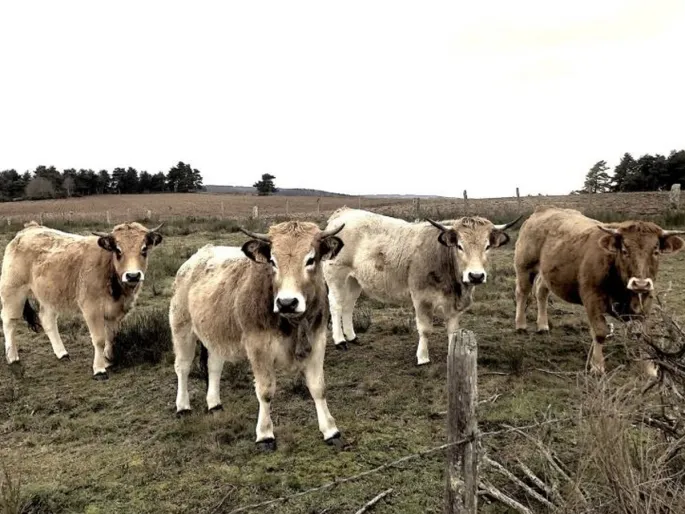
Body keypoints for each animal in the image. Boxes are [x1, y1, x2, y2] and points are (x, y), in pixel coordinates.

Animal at [0, 218, 164, 378]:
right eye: (118, 250)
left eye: (144, 249)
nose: (133, 275)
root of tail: (30, 228)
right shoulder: (92, 309)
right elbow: (99, 339)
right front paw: (99, 369)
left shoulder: (115, 312)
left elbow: (111, 337)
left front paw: (108, 360)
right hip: (13, 291)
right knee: (9, 321)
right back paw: (13, 358)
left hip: (49, 296)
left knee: (48, 320)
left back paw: (62, 353)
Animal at [169, 219, 344, 448]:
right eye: (272, 261)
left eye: (311, 259)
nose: (287, 302)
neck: (292, 324)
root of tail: (195, 258)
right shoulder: (258, 348)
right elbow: (266, 391)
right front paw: (265, 434)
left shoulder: (317, 341)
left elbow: (318, 387)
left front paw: (330, 430)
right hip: (182, 328)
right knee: (183, 367)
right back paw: (183, 406)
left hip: (216, 335)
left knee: (214, 366)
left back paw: (214, 403)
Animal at [320, 207, 520, 364]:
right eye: (460, 246)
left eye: (487, 246)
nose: (476, 276)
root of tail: (344, 213)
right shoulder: (421, 298)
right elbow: (425, 329)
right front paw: (423, 357)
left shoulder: (452, 304)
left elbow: (452, 330)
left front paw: (452, 353)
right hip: (336, 276)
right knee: (336, 306)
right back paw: (340, 341)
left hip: (354, 280)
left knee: (348, 306)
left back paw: (352, 337)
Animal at [512, 205, 684, 372]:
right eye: (624, 250)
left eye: (656, 251)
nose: (640, 283)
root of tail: (543, 209)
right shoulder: (592, 299)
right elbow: (600, 332)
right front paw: (597, 366)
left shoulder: (645, 304)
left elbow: (643, 336)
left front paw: (649, 369)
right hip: (524, 267)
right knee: (522, 293)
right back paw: (520, 324)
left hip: (546, 272)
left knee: (541, 292)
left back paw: (543, 325)